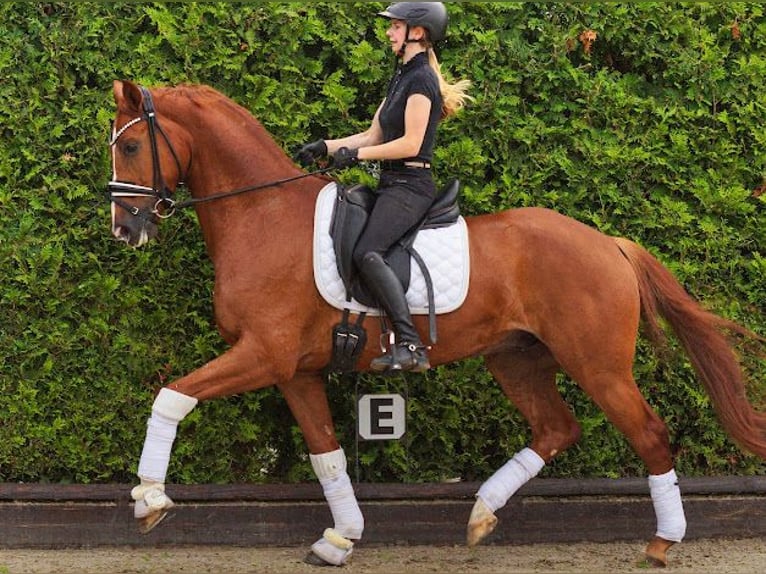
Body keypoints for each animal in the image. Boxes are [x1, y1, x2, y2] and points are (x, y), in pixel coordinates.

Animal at [108, 81, 766, 572]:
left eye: (133, 146)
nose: (125, 227)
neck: (262, 215)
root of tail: (608, 243)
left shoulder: (263, 354)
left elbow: (171, 396)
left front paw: (149, 498)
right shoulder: (294, 371)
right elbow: (327, 456)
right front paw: (341, 538)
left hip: (598, 365)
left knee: (649, 434)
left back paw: (661, 543)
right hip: (516, 357)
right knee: (557, 427)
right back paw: (481, 513)